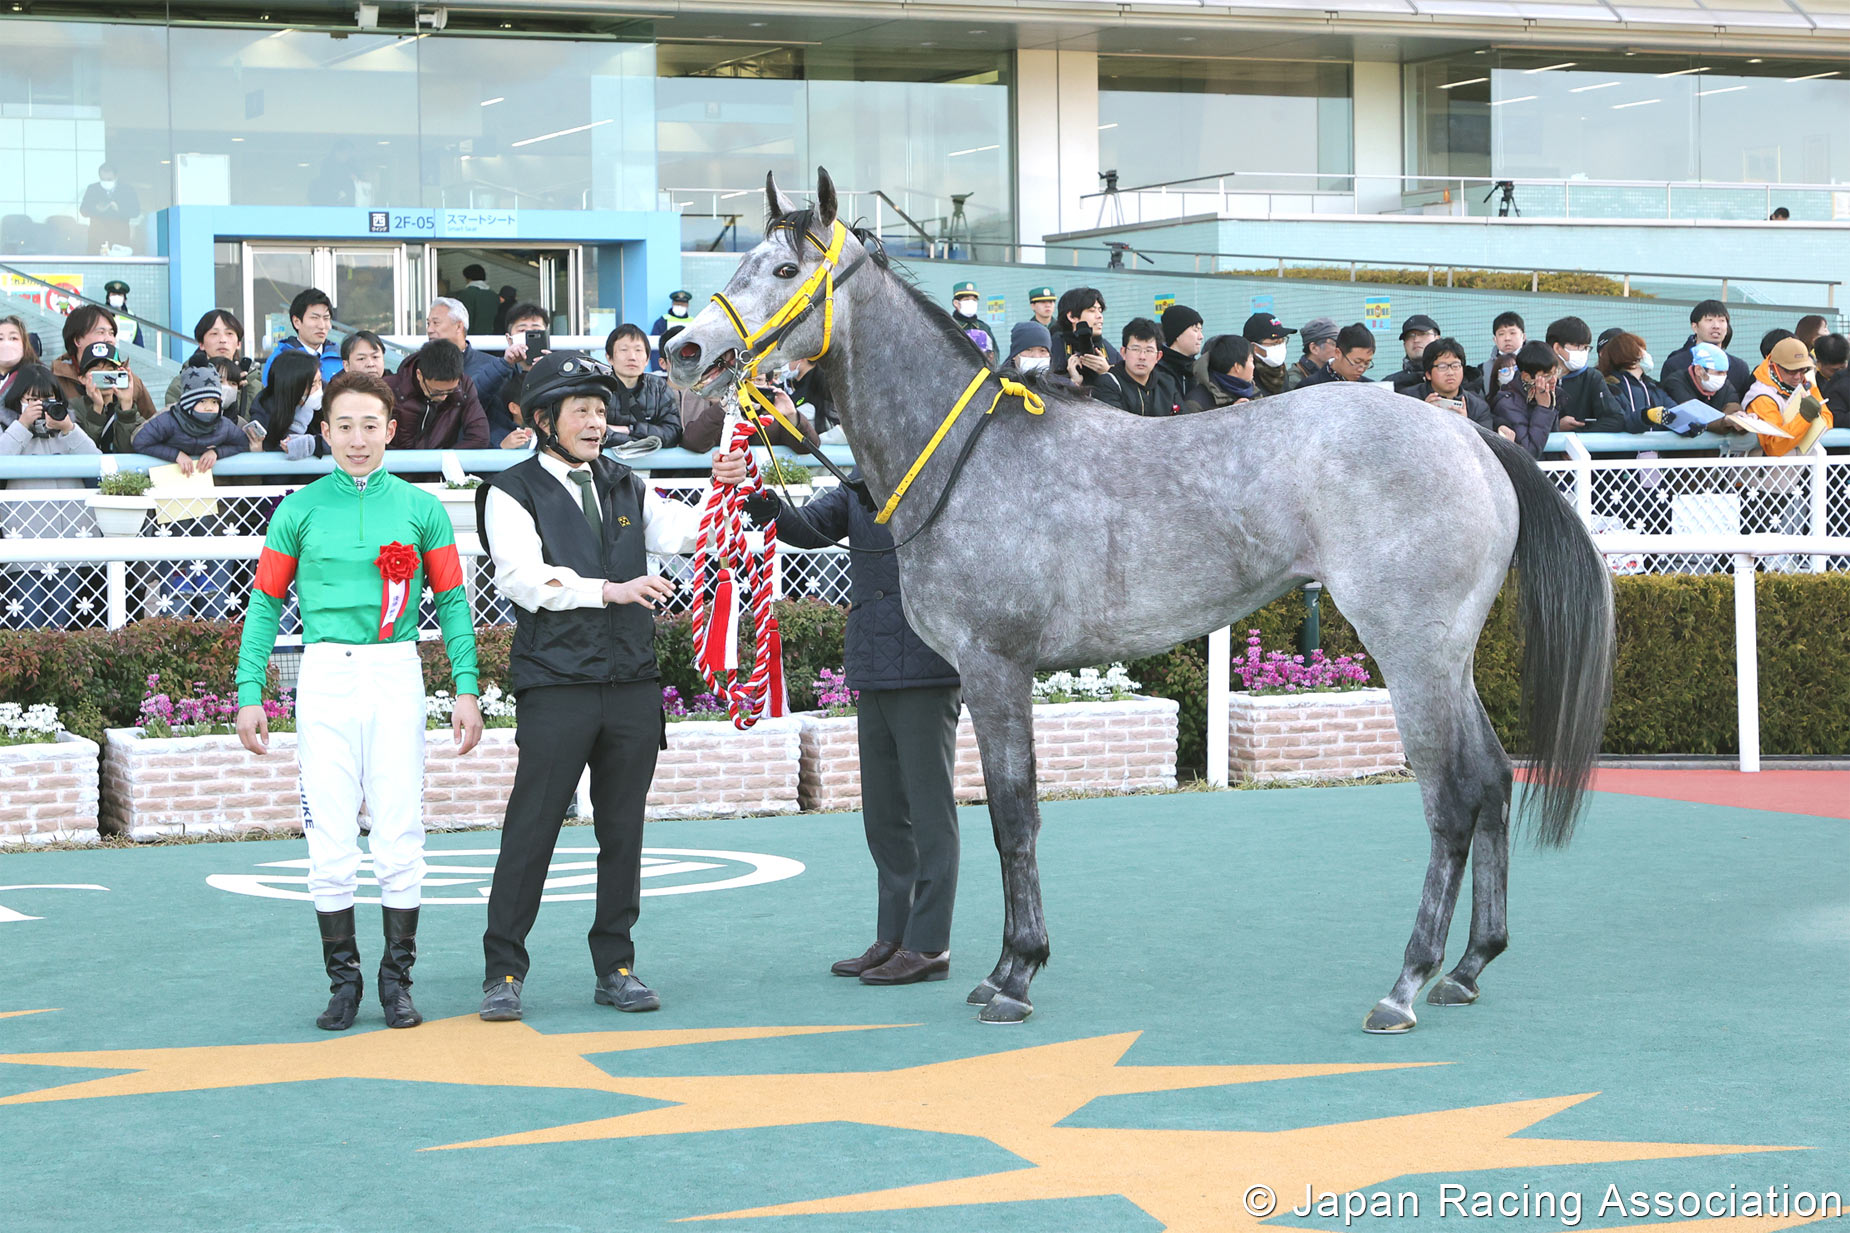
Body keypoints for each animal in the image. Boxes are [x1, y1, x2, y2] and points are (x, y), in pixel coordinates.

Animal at [666, 168, 1614, 1032]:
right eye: (742, 258)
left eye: (784, 268)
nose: (685, 351)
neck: (968, 455)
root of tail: (1471, 436)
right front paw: (1005, 967)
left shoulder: (995, 667)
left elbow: (1013, 815)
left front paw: (1016, 973)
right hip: (1451, 654)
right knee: (1492, 777)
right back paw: (1470, 965)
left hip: (1413, 650)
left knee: (1450, 798)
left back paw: (1406, 983)